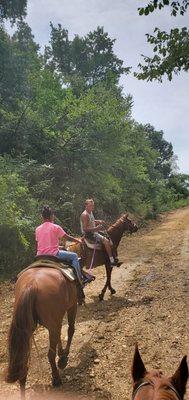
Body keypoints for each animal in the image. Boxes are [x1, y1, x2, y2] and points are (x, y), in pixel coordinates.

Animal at [5, 268, 77, 398]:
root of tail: (31, 284)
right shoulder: (72, 306)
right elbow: (70, 329)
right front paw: (64, 355)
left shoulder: (56, 322)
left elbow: (59, 335)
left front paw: (61, 352)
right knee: (50, 354)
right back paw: (56, 379)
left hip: (26, 329)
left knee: (23, 362)